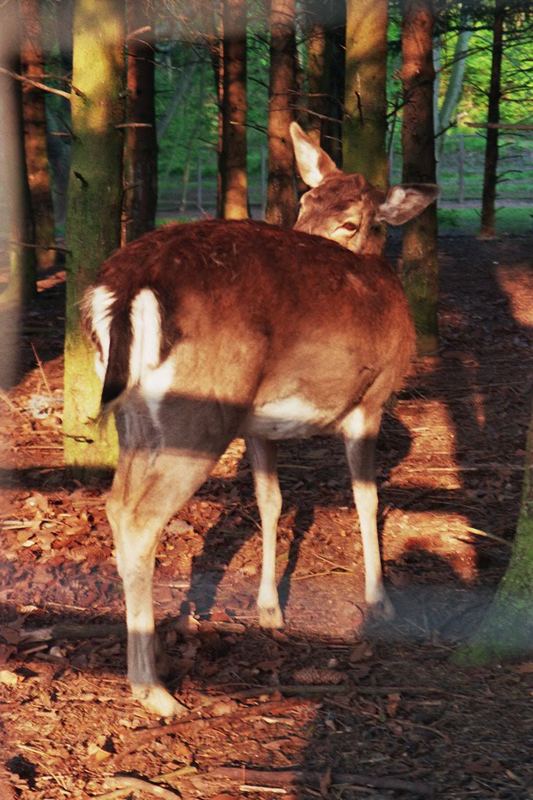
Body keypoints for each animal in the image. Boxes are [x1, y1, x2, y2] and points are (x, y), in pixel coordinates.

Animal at [83, 122, 438, 716]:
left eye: (347, 219)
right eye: (306, 203)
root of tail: (126, 286)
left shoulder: (259, 426)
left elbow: (270, 501)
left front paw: (270, 609)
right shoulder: (372, 399)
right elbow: (367, 499)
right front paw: (380, 602)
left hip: (138, 417)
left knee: (115, 504)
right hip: (201, 409)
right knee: (140, 517)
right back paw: (153, 689)